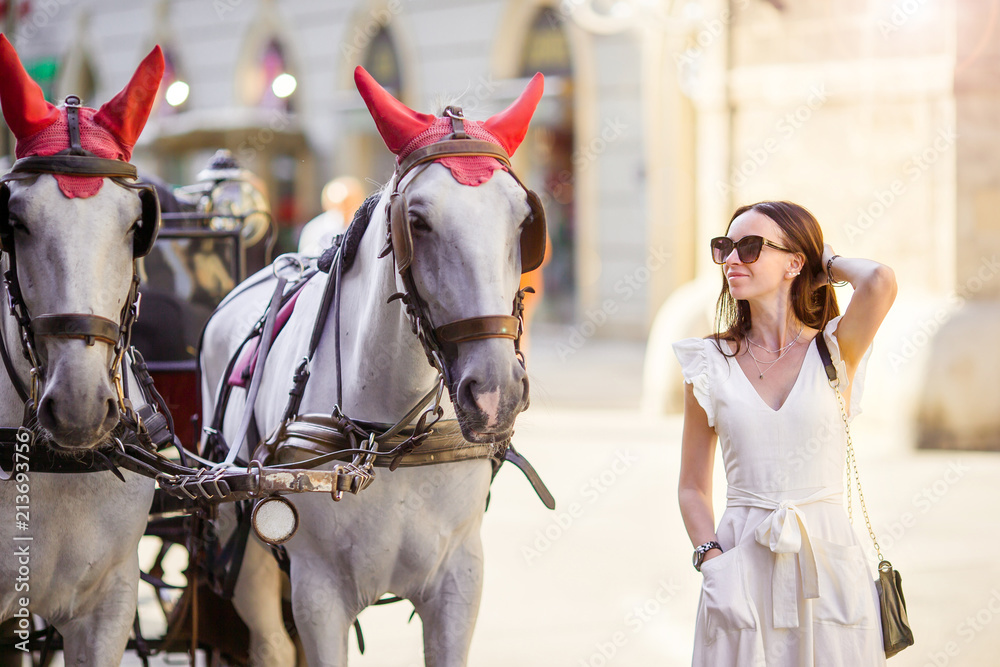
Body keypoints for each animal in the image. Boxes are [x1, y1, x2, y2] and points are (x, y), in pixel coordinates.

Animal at [201, 69, 548, 667]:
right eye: (418, 221)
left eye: (525, 221)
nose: (495, 392)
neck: (386, 441)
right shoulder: (317, 594)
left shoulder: (460, 579)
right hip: (241, 546)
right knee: (269, 643)